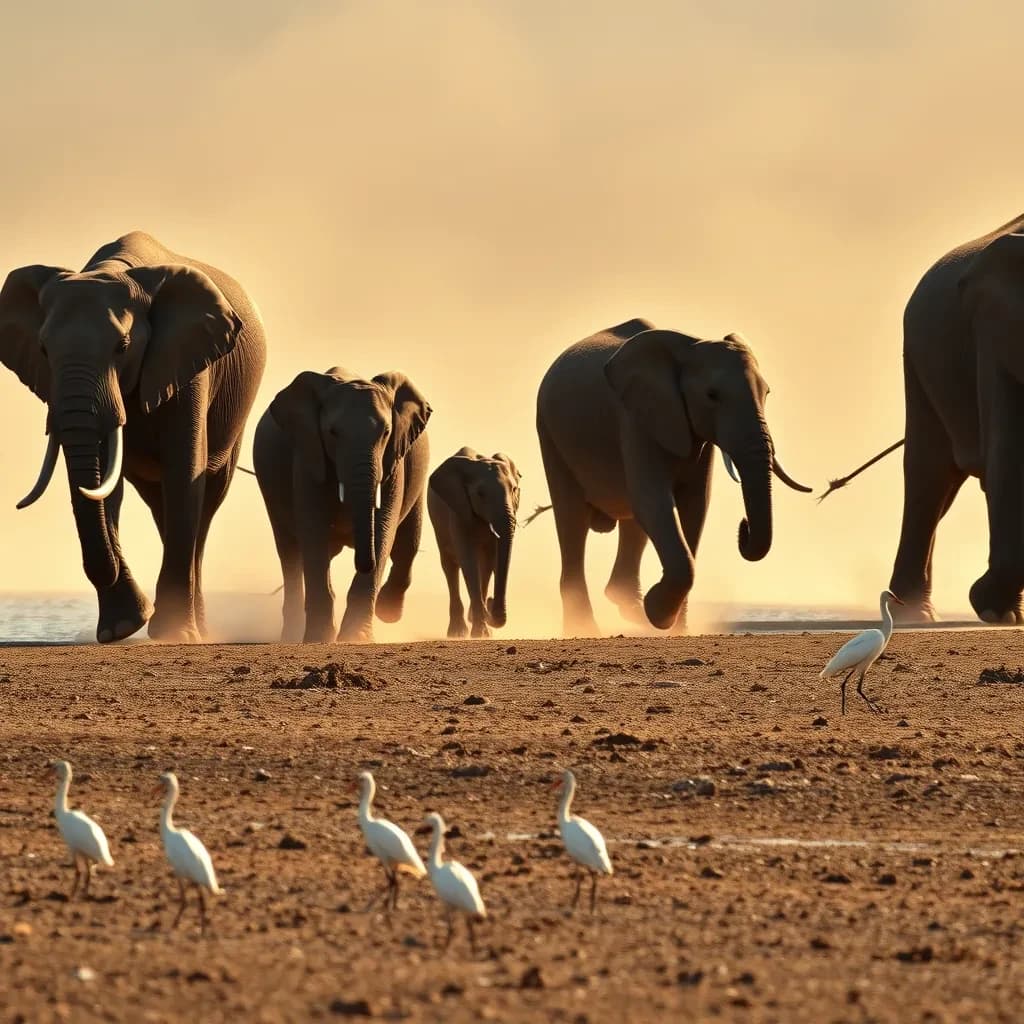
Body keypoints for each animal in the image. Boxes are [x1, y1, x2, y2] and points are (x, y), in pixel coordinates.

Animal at [0, 231, 266, 643]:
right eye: (43, 349)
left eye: (122, 347)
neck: (112, 271)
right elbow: (103, 483)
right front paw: (121, 628)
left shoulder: (187, 362)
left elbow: (183, 472)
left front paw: (172, 634)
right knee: (161, 507)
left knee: (205, 504)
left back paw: (197, 631)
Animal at [253, 366, 431, 643]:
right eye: (332, 433)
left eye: (386, 432)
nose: (364, 562)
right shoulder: (308, 452)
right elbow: (313, 530)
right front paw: (319, 639)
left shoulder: (393, 461)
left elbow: (383, 528)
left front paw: (356, 638)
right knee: (290, 553)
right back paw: (292, 636)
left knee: (407, 543)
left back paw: (388, 612)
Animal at [427, 447, 521, 638]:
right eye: (480, 494)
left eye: (514, 489)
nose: (491, 603)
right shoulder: (458, 509)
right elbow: (468, 560)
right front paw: (480, 633)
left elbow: (490, 559)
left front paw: (483, 629)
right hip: (437, 523)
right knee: (449, 565)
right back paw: (457, 633)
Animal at [536, 319, 810, 635]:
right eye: (712, 395)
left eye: (766, 393)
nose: (743, 528)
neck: (690, 346)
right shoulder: (636, 418)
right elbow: (654, 501)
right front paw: (657, 613)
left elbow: (695, 506)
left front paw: (675, 627)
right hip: (549, 432)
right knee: (572, 518)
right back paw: (585, 629)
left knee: (631, 522)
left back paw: (630, 609)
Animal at [827, 214, 1024, 624]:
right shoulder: (993, 331)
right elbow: (1009, 455)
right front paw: (988, 605)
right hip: (916, 360)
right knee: (929, 476)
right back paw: (918, 614)